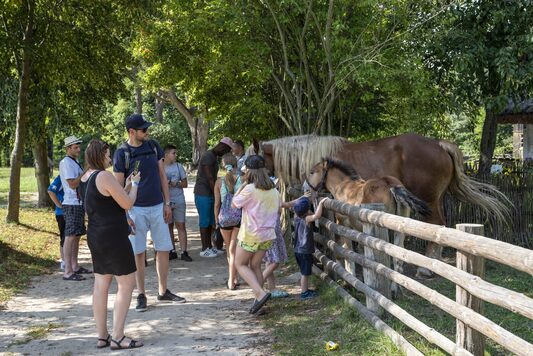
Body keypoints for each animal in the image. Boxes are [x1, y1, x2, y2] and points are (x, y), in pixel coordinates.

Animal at [251, 133, 510, 276]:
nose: (247, 180)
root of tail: (438, 144)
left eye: (254, 161)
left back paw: (426, 268)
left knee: (436, 224)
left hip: (429, 199)